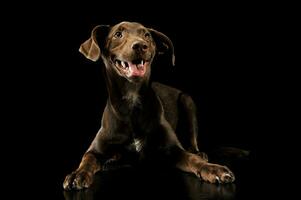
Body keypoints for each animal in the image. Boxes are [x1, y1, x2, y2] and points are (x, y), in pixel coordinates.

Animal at [62, 21, 233, 190]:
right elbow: (87, 159)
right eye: (118, 34)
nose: (140, 45)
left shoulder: (174, 150)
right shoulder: (95, 150)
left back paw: (200, 153)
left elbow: (192, 159)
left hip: (188, 101)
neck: (132, 101)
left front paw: (213, 169)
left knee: (193, 143)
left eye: (147, 35)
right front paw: (77, 174)